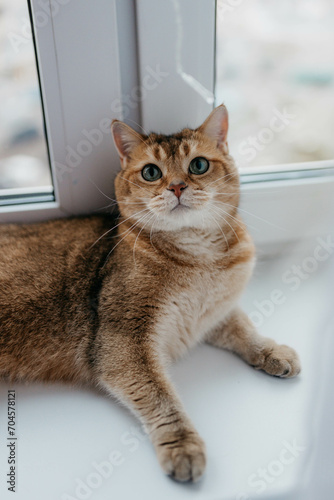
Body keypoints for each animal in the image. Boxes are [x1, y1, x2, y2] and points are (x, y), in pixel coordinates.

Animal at [0, 104, 300, 480]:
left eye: (198, 165)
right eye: (151, 172)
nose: (176, 186)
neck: (200, 262)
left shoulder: (209, 315)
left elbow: (244, 328)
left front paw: (272, 351)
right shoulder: (121, 344)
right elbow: (160, 397)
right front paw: (183, 445)